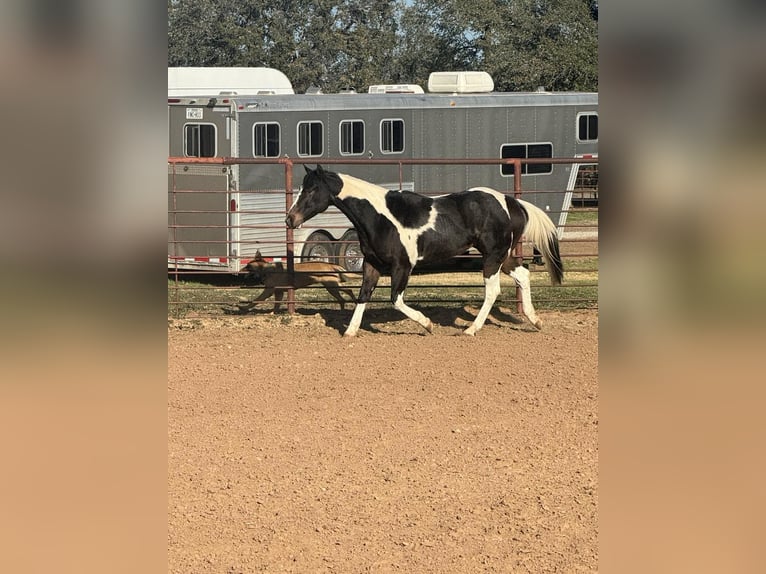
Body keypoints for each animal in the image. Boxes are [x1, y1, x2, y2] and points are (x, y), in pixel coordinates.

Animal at [288, 165, 564, 338]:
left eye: (312, 190)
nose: (290, 219)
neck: (379, 216)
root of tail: (511, 201)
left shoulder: (403, 265)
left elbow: (396, 300)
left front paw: (428, 325)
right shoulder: (372, 264)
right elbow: (363, 295)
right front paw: (349, 332)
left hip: (492, 257)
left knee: (493, 290)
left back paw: (470, 330)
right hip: (500, 256)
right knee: (523, 275)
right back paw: (535, 321)